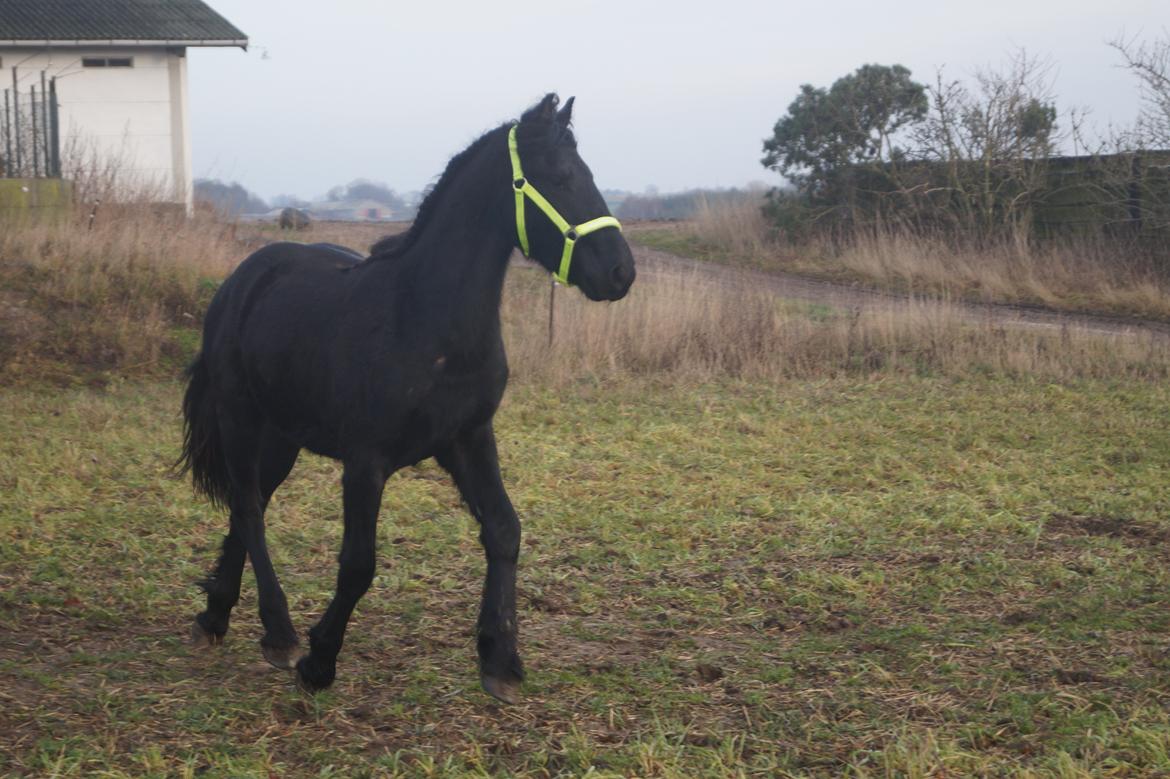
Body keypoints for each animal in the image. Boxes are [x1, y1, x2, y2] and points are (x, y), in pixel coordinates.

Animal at [181, 94, 636, 701]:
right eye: (560, 178)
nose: (621, 271)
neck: (423, 319)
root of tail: (242, 280)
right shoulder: (366, 463)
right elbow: (358, 564)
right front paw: (320, 659)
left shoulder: (467, 439)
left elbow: (505, 530)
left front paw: (500, 658)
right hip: (240, 418)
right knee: (251, 509)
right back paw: (278, 632)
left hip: (281, 437)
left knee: (243, 504)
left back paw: (216, 615)